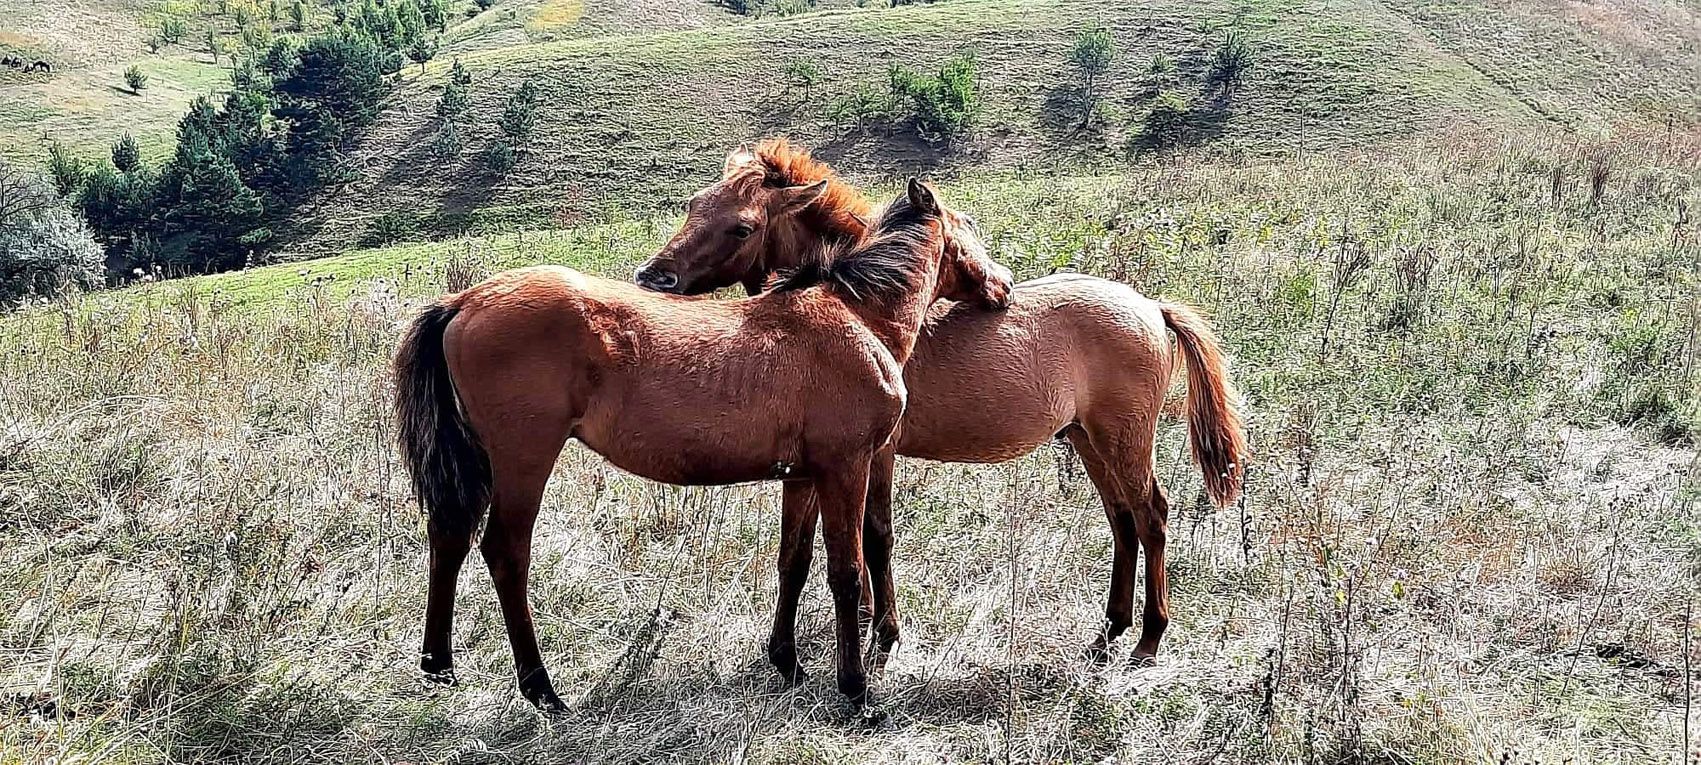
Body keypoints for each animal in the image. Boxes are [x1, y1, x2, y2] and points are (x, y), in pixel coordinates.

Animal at [394, 179, 1006, 710]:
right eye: (971, 224)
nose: (1001, 286)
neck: (856, 317)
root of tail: (465, 301)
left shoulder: (803, 476)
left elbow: (794, 560)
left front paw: (786, 661)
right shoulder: (846, 468)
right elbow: (846, 571)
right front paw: (854, 689)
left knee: (449, 537)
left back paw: (439, 665)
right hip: (523, 460)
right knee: (504, 551)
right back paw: (543, 690)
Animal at [639, 141, 1251, 663]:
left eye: (741, 226)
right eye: (694, 204)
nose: (653, 278)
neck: (864, 312)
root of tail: (1152, 308)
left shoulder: (875, 454)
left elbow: (875, 536)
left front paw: (881, 633)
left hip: (1124, 440)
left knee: (1151, 515)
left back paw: (1148, 639)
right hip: (1087, 440)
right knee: (1123, 519)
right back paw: (1108, 633)